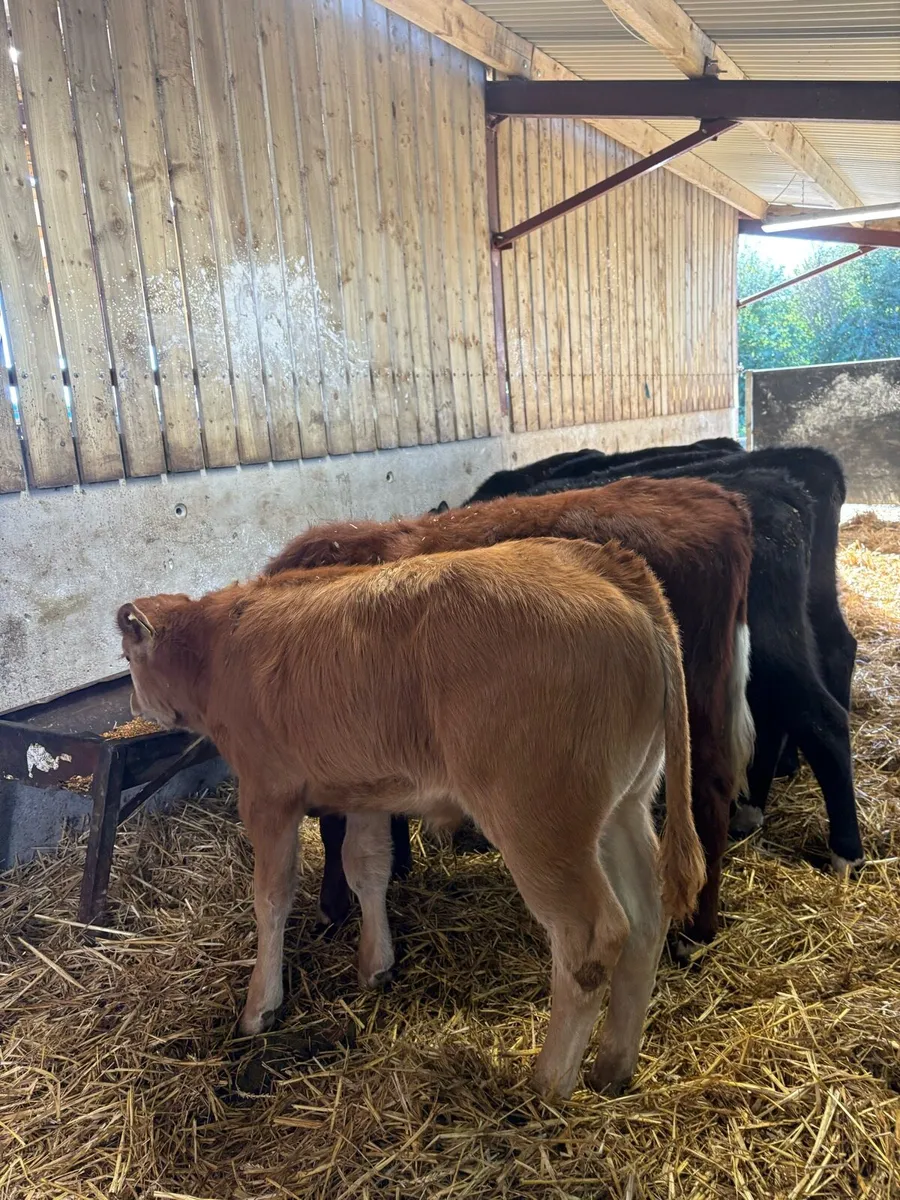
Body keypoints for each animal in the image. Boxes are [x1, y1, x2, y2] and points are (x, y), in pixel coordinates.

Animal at [119, 537, 706, 1099]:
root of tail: (605, 564)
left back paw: (548, 1084)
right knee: (647, 917)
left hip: (538, 820)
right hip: (622, 807)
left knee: (590, 939)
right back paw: (612, 1069)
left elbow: (272, 896)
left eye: (128, 659)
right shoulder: (367, 791)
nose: (133, 705)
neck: (221, 648)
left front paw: (260, 1005)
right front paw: (375, 964)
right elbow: (367, 868)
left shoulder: (266, 792)